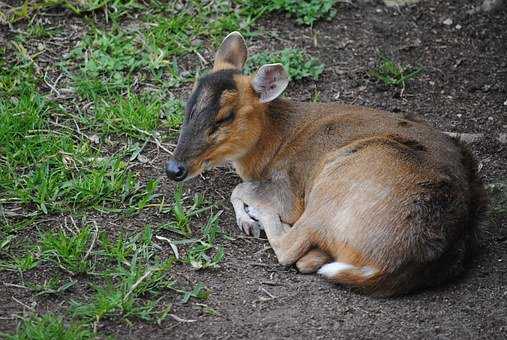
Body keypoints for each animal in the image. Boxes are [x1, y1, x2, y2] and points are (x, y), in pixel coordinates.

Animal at [165, 33, 486, 296]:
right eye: (188, 105)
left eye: (225, 117)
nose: (174, 169)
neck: (272, 143)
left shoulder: (289, 189)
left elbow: (240, 190)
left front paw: (248, 218)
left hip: (335, 182)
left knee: (290, 248)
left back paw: (261, 215)